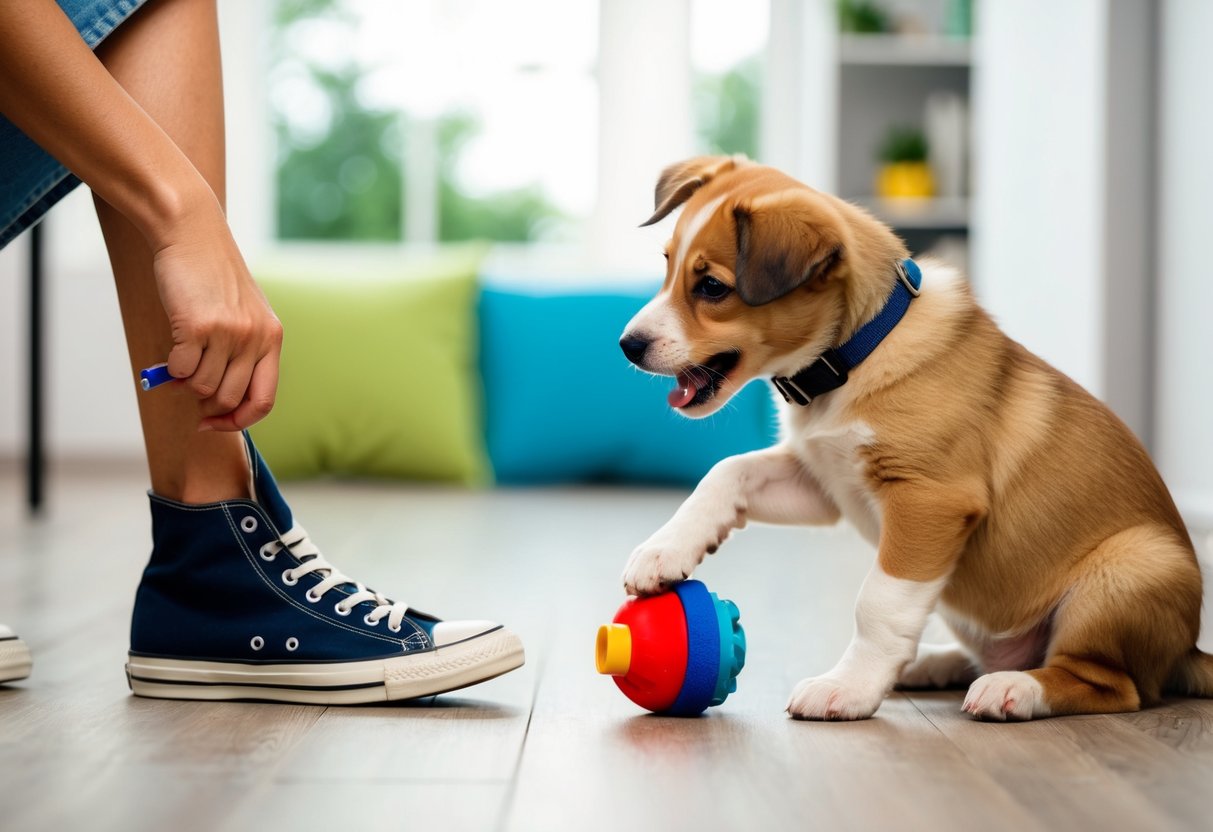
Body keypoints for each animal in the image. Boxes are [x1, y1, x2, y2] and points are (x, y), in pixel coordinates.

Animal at [621, 156, 1208, 722]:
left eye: (712, 288)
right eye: (668, 265)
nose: (628, 345)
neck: (854, 355)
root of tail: (1186, 651)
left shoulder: (929, 500)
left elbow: (878, 602)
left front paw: (848, 689)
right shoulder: (824, 483)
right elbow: (727, 472)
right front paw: (664, 550)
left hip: (1129, 570)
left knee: (1108, 685)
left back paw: (1012, 690)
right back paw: (932, 664)